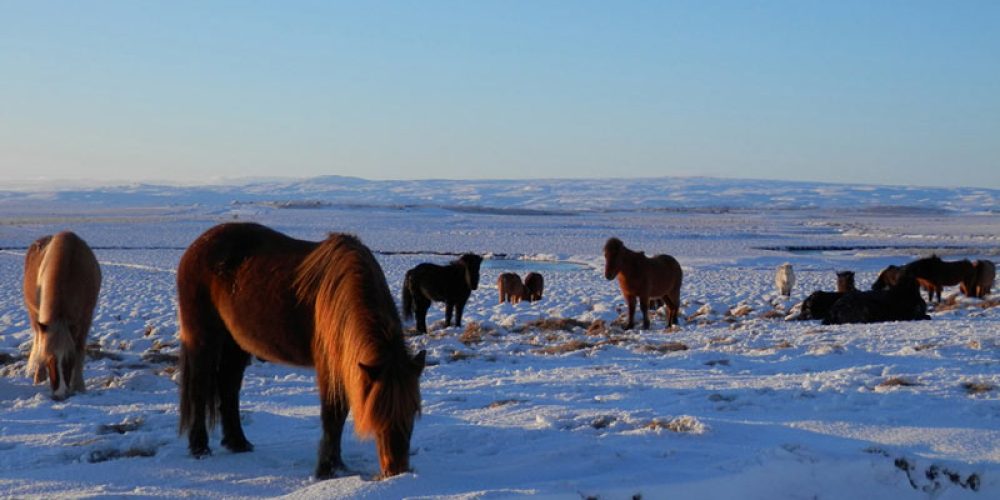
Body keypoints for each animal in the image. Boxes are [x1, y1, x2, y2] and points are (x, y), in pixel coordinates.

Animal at [22, 232, 100, 400]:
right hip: (34, 315)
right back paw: (39, 376)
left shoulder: (85, 319)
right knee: (38, 338)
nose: (60, 394)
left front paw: (79, 386)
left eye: (69, 358)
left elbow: (79, 350)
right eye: (49, 359)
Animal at [177, 224, 426, 480]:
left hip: (236, 343)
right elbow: (333, 415)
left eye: (412, 412)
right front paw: (326, 469)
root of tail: (197, 246)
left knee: (228, 386)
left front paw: (338, 465)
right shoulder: (328, 366)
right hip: (203, 338)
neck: (341, 297)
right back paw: (200, 448)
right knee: (199, 387)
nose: (397, 471)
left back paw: (238, 443)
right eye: (376, 413)